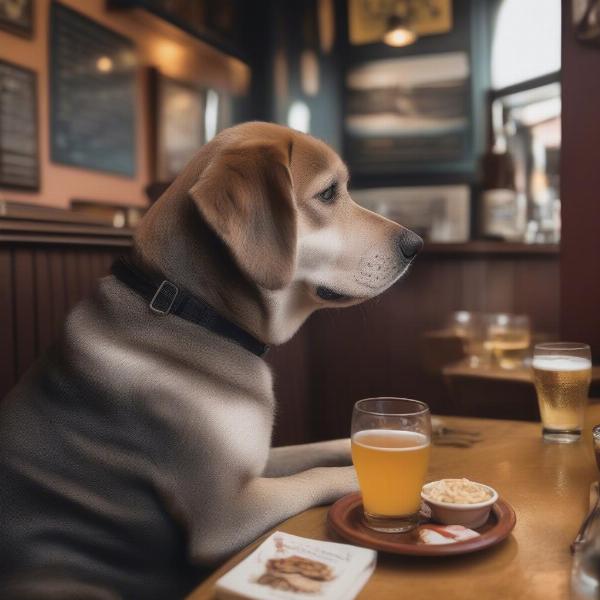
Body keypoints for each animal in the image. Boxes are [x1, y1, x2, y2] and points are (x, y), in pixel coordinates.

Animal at [0, 122, 422, 600]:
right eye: (329, 192)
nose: (417, 244)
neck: (193, 312)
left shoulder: (258, 461)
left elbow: (317, 448)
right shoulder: (227, 514)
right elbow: (314, 475)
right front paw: (363, 478)